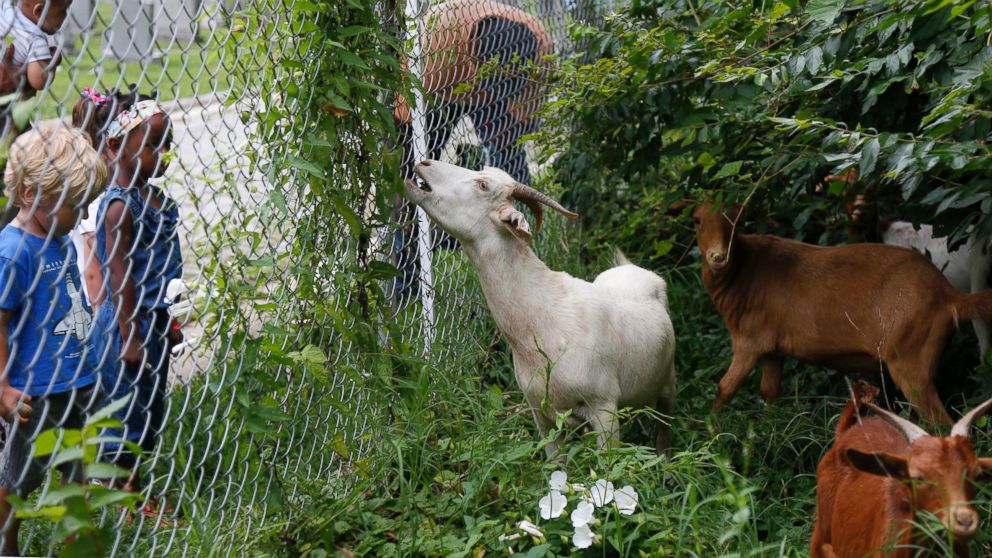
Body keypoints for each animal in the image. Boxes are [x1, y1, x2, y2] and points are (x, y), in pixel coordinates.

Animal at [404, 160, 676, 458]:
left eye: (483, 185)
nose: (423, 163)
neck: (545, 318)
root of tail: (631, 267)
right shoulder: (541, 413)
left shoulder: (603, 406)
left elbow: (608, 463)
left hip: (667, 383)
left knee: (664, 430)